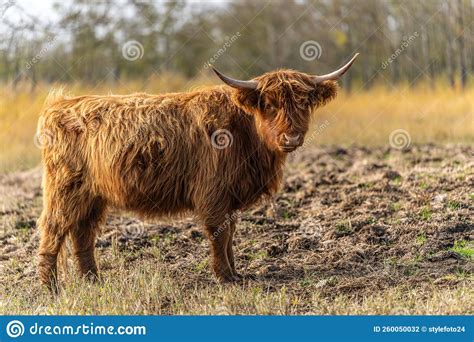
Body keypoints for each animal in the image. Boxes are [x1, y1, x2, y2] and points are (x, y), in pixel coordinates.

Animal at [37, 53, 358, 288]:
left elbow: (231, 233)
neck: (245, 133)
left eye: (304, 103)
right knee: (53, 229)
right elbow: (218, 233)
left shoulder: (230, 196)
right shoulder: (213, 193)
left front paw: (236, 273)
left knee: (83, 233)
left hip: (92, 195)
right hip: (64, 189)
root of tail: (59, 105)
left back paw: (93, 281)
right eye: (268, 104)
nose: (291, 138)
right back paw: (51, 287)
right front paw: (224, 277)